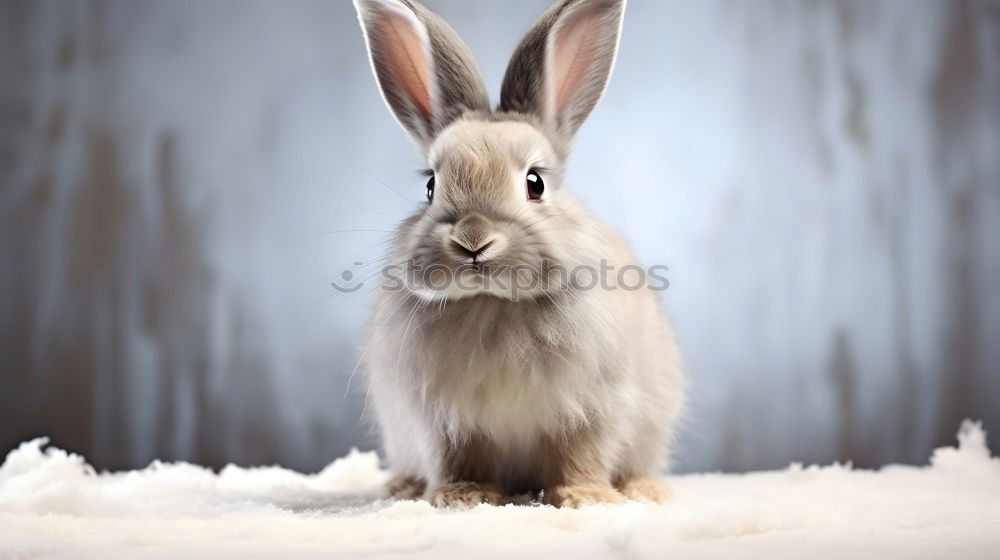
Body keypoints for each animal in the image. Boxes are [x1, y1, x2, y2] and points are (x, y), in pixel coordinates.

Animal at [354, 0, 688, 508]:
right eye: (430, 186)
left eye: (536, 183)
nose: (473, 239)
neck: (492, 303)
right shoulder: (444, 417)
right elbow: (459, 457)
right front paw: (462, 497)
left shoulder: (593, 405)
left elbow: (580, 454)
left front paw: (587, 498)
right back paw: (403, 486)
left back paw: (643, 490)